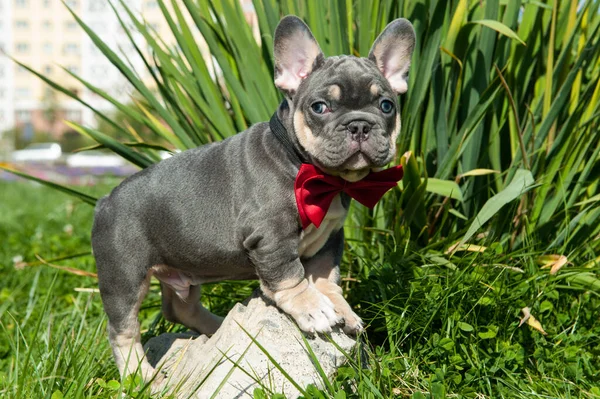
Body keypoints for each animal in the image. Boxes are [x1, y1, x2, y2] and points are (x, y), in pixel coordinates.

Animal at [92, 15, 412, 380]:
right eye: (320, 107)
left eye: (386, 106)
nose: (359, 125)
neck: (311, 170)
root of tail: (104, 201)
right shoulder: (271, 237)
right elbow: (291, 276)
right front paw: (313, 308)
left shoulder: (329, 237)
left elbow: (324, 275)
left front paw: (340, 307)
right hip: (124, 277)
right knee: (123, 331)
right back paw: (141, 377)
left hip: (183, 265)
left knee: (180, 308)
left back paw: (215, 330)